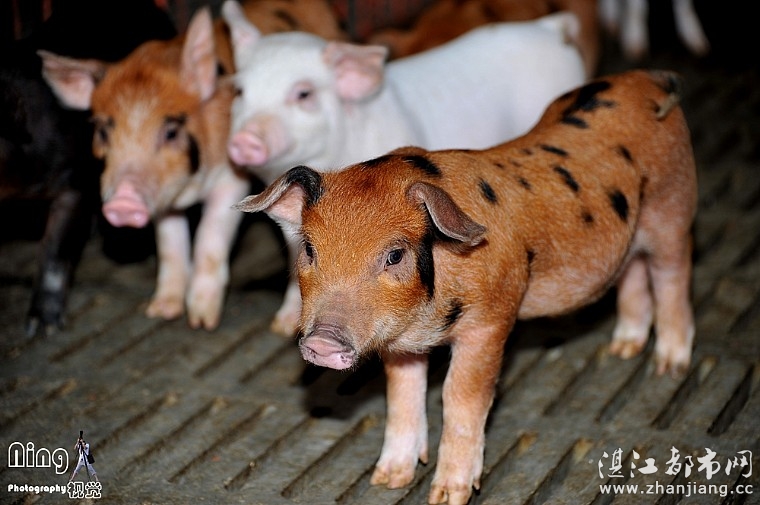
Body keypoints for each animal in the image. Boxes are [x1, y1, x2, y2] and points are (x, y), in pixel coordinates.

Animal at [234, 69, 697, 504]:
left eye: (395, 255)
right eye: (309, 249)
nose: (323, 342)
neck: (425, 316)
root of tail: (647, 78)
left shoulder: (490, 322)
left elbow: (460, 399)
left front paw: (448, 495)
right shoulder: (401, 343)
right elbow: (402, 397)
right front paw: (387, 480)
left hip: (672, 207)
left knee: (673, 275)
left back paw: (669, 366)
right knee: (633, 272)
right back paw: (623, 349)